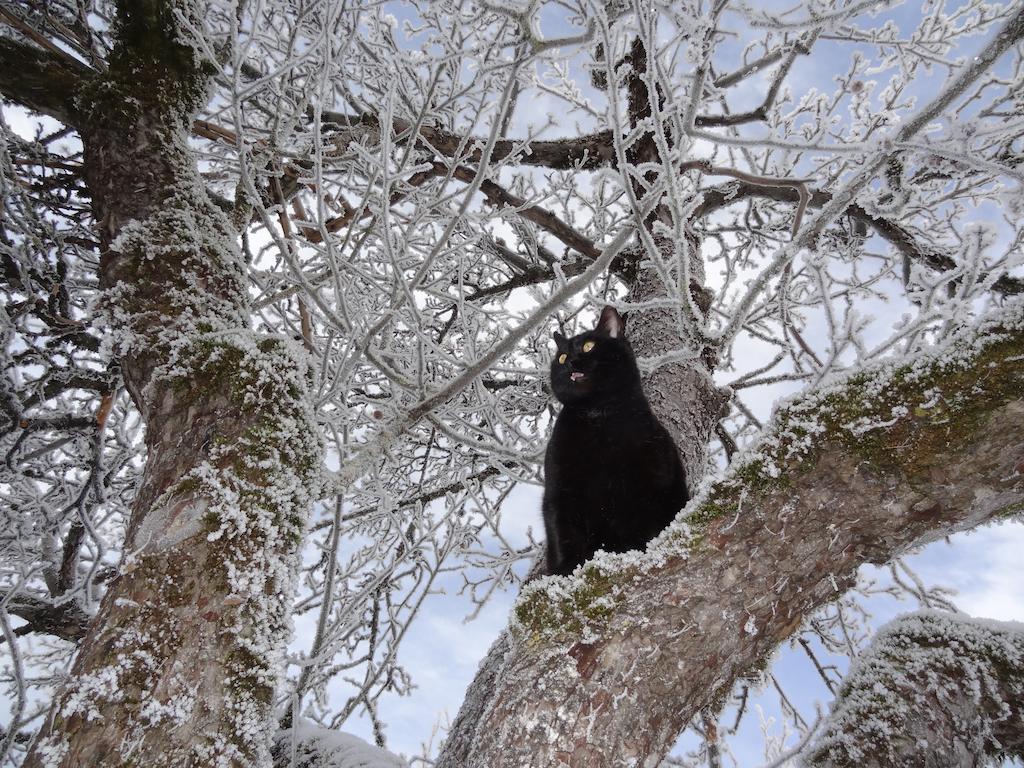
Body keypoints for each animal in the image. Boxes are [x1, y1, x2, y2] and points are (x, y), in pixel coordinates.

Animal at [544, 307, 688, 577]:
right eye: (561, 357)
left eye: (589, 346)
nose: (570, 362)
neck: (598, 413)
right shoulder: (560, 490)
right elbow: (564, 535)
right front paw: (566, 570)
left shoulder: (649, 482)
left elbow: (641, 526)